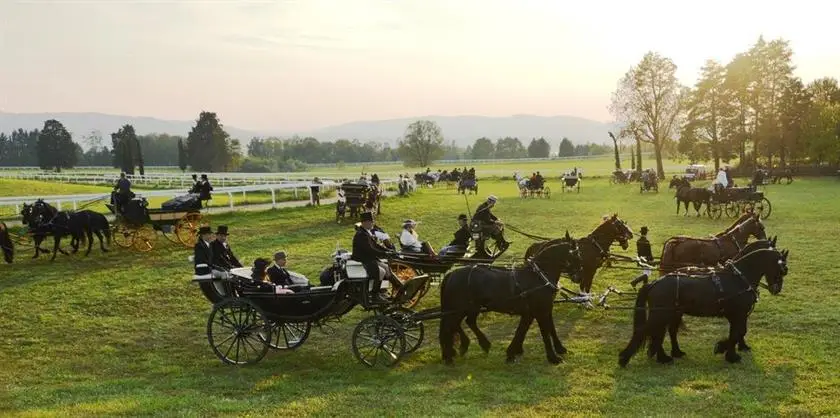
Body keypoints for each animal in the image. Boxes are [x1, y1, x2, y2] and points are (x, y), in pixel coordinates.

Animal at [440, 233, 584, 364]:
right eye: (576, 254)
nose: (579, 276)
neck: (538, 276)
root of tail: (451, 275)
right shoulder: (540, 311)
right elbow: (545, 332)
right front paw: (553, 357)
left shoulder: (540, 310)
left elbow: (530, 330)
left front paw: (513, 352)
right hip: (459, 309)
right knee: (449, 327)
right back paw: (449, 356)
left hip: (471, 307)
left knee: (465, 323)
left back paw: (478, 345)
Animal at [616, 247, 788, 368]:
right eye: (782, 269)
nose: (776, 289)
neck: (739, 278)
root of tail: (654, 283)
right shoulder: (738, 314)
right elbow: (737, 333)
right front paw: (729, 354)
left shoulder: (737, 315)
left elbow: (738, 333)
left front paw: (725, 349)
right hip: (660, 315)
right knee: (646, 331)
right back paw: (625, 358)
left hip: (670, 314)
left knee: (661, 333)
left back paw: (667, 356)